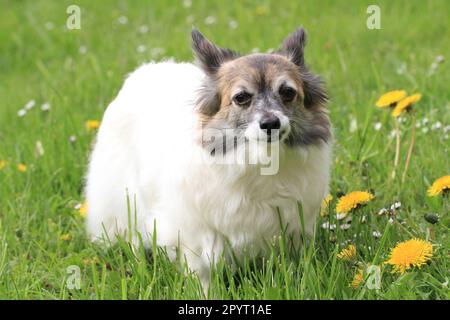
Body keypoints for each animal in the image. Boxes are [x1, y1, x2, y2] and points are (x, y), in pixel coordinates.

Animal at [85, 26, 330, 288]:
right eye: (241, 97)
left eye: (287, 92)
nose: (271, 123)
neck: (258, 160)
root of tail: (146, 70)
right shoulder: (196, 234)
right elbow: (202, 272)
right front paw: (206, 291)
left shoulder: (291, 228)